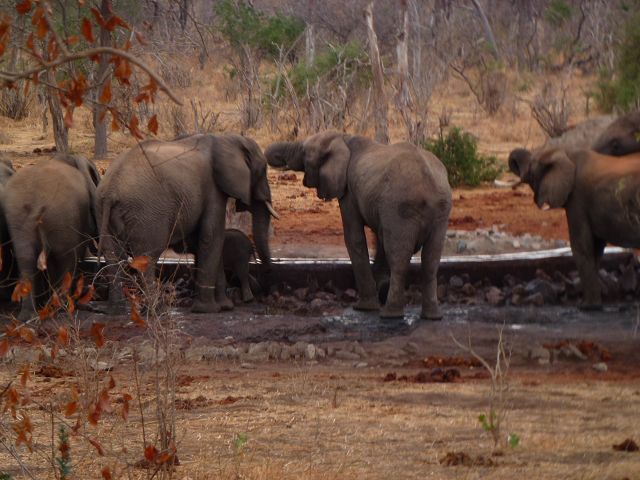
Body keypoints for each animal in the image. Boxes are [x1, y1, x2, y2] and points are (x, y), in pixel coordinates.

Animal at [2, 154, 100, 319]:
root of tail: (36, 202)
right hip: (63, 216)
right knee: (66, 259)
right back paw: (60, 308)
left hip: (16, 215)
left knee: (25, 258)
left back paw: (29, 316)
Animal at [96, 133, 277, 314]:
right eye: (262, 171)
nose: (268, 274)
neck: (224, 139)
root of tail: (111, 190)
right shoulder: (213, 189)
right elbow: (212, 237)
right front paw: (208, 310)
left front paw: (225, 306)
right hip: (145, 213)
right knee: (147, 258)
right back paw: (156, 310)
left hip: (105, 211)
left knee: (113, 257)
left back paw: (117, 310)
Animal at [265, 131, 452, 319]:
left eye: (304, 152)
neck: (342, 138)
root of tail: (428, 182)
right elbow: (379, 237)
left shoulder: (349, 191)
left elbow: (353, 237)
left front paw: (363, 307)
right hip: (440, 210)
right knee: (431, 259)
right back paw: (432, 316)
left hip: (401, 207)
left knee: (399, 257)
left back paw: (390, 314)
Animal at [508, 146, 640, 308]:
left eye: (532, 168)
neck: (567, 154)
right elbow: (595, 249)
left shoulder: (577, 200)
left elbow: (581, 247)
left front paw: (586, 307)